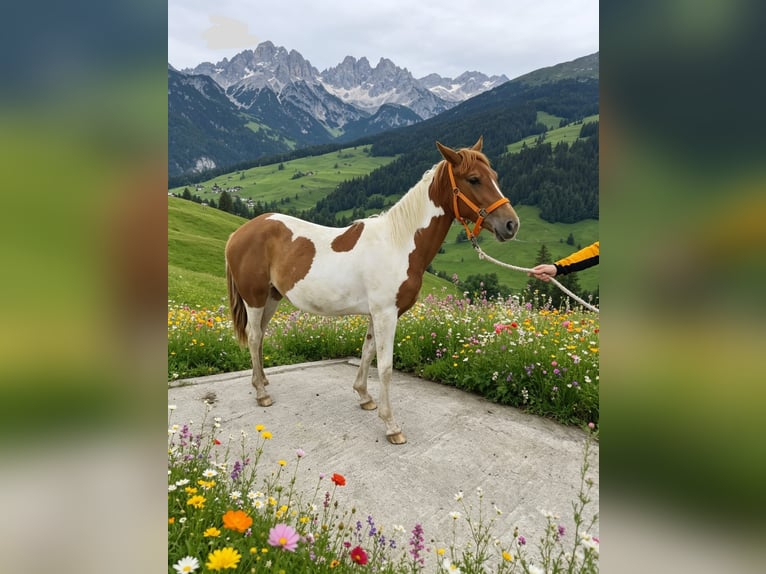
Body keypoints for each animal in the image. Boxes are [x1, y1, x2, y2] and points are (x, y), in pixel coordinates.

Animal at [225, 137, 519, 444]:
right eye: (474, 179)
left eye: (494, 176)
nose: (511, 224)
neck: (399, 243)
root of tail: (239, 233)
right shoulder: (386, 314)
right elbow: (386, 367)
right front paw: (391, 425)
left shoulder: (376, 314)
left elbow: (367, 352)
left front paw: (364, 397)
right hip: (254, 298)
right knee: (254, 337)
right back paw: (261, 393)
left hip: (271, 298)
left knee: (260, 337)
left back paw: (262, 381)